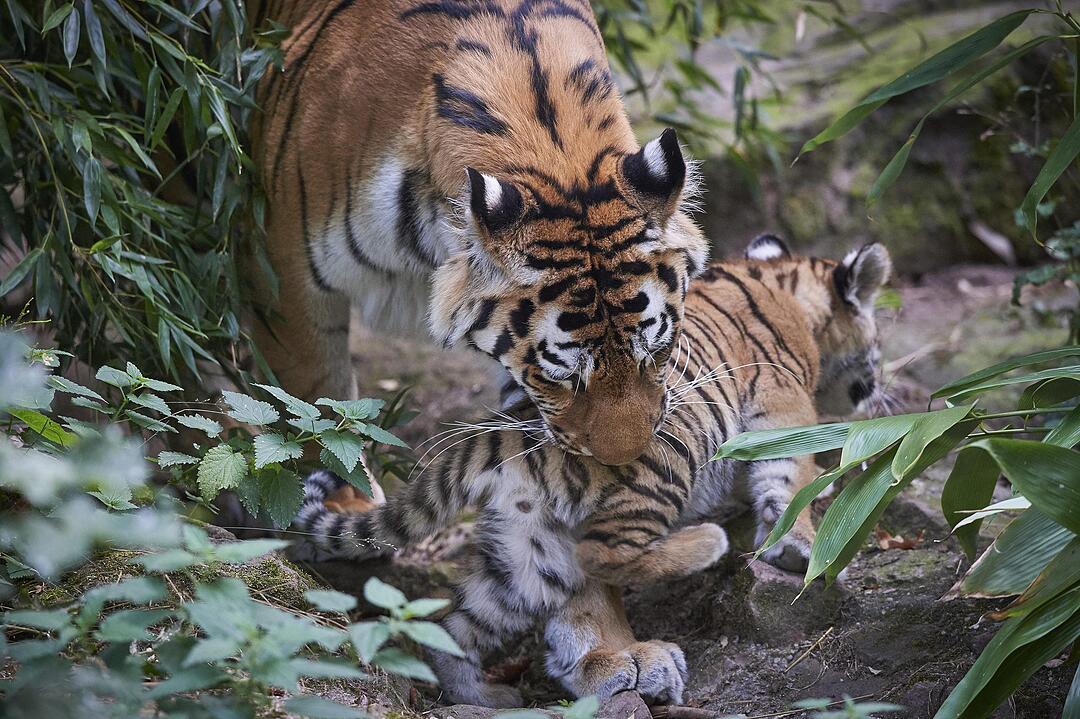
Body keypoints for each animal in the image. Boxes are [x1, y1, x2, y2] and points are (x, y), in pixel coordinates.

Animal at [293, 236, 893, 707]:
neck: (786, 291)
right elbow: (791, 477)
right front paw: (801, 546)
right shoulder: (783, 404)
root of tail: (509, 437)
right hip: (666, 465)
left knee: (456, 625)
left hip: (527, 559)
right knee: (604, 552)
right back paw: (703, 546)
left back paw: (482, 694)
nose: (880, 393)